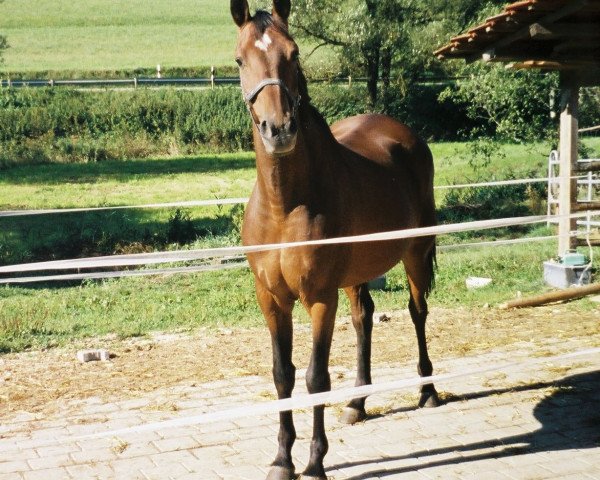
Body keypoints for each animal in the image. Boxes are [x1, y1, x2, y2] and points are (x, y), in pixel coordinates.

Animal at [232, 1, 438, 478]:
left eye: (294, 53)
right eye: (239, 60)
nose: (278, 130)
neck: (285, 205)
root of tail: (406, 136)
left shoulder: (318, 297)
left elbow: (316, 378)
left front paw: (314, 462)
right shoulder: (271, 298)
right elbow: (282, 374)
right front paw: (281, 459)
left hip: (415, 254)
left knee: (417, 312)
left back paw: (428, 390)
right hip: (356, 274)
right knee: (364, 317)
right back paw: (357, 404)